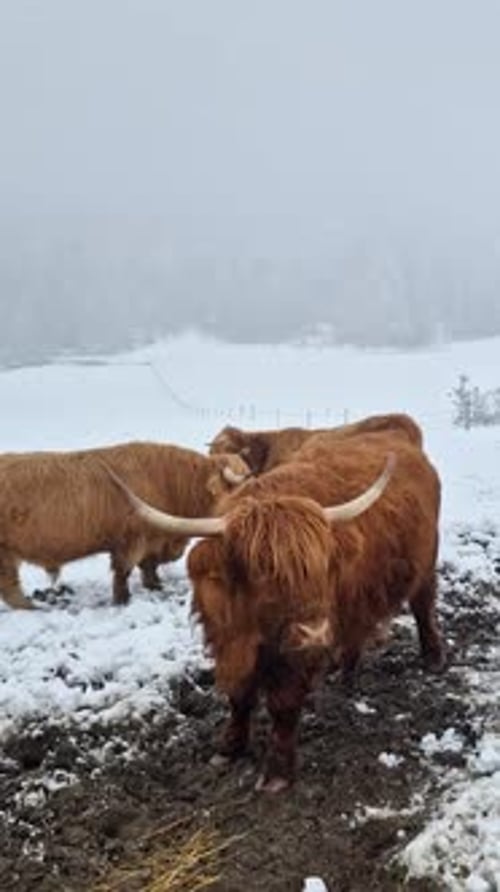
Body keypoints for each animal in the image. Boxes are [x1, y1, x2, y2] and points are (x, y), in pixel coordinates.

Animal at [0, 441, 250, 610]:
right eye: (240, 488)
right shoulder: (131, 540)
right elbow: (124, 571)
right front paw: (122, 599)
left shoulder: (153, 539)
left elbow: (148, 566)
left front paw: (154, 585)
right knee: (10, 586)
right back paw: (32, 608)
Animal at [103, 431, 443, 792]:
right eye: (261, 572)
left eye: (322, 567)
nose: (316, 633)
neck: (252, 628)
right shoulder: (224, 636)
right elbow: (238, 695)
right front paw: (230, 747)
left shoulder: (295, 656)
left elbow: (284, 704)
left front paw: (277, 773)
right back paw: (345, 671)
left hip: (425, 563)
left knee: (423, 607)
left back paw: (433, 658)